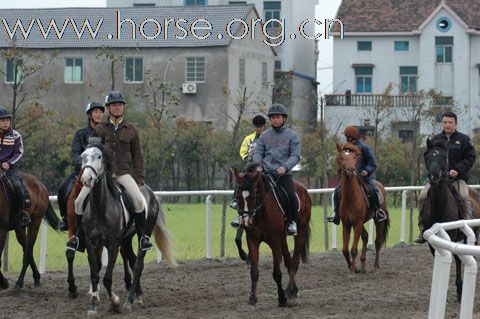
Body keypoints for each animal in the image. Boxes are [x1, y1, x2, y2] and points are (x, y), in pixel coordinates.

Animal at [79, 139, 176, 316]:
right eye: (83, 156)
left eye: (99, 156)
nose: (86, 178)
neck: (101, 207)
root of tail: (150, 192)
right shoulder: (92, 243)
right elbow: (95, 275)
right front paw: (93, 306)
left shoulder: (113, 244)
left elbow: (107, 278)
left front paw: (115, 302)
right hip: (126, 239)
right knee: (132, 261)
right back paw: (138, 296)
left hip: (142, 234)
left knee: (138, 265)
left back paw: (129, 302)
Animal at [232, 162, 312, 308]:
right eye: (238, 196)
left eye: (253, 196)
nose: (245, 223)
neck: (261, 211)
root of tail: (303, 189)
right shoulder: (252, 240)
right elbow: (254, 272)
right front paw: (252, 298)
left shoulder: (274, 241)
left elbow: (277, 273)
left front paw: (282, 298)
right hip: (283, 238)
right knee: (288, 260)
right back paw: (294, 290)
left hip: (300, 232)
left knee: (295, 261)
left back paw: (290, 291)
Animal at [334, 144, 390, 274]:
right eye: (342, 158)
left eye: (355, 157)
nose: (351, 170)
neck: (350, 198)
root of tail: (380, 185)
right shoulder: (347, 224)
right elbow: (345, 250)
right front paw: (353, 267)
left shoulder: (357, 223)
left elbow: (354, 249)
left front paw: (353, 270)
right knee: (365, 236)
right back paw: (363, 265)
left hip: (378, 221)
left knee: (377, 242)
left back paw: (375, 266)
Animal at [422, 138, 478, 302]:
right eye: (428, 156)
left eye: (443, 157)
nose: (434, 176)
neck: (440, 207)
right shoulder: (433, 241)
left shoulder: (451, 236)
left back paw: (461, 290)